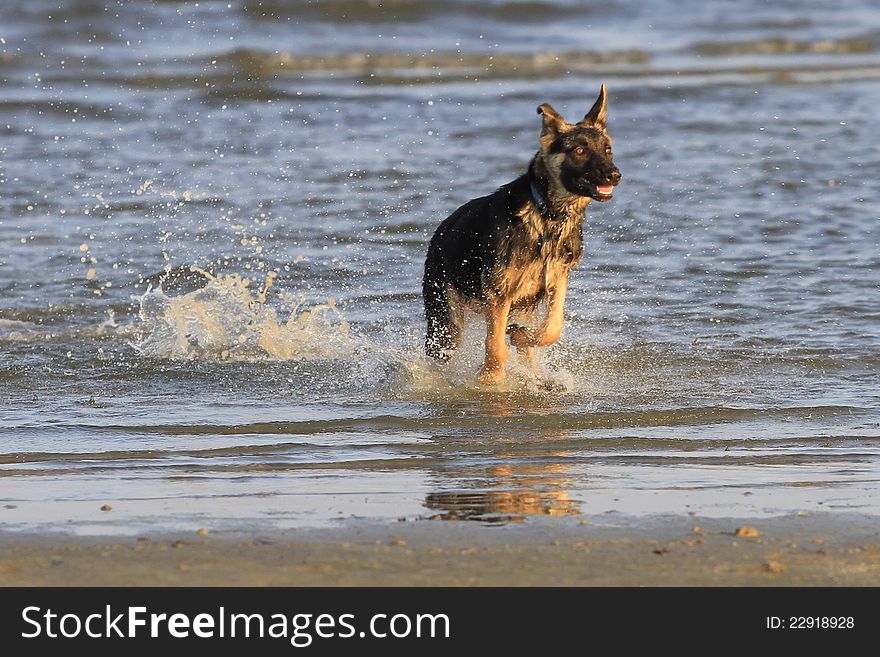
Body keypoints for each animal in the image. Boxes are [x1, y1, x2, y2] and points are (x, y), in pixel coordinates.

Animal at [422, 87, 620, 384]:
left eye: (607, 149)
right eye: (579, 150)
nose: (614, 175)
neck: (548, 216)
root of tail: (440, 232)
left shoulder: (556, 280)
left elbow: (552, 329)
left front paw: (520, 338)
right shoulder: (498, 294)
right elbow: (495, 347)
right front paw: (490, 377)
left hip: (521, 307)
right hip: (447, 322)